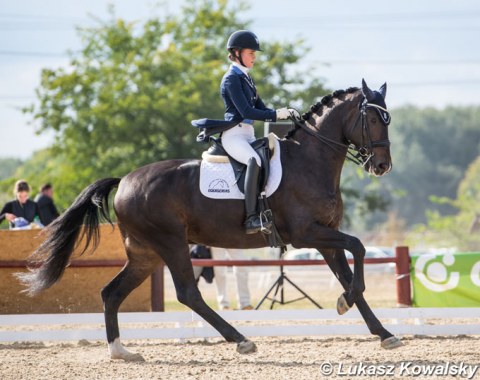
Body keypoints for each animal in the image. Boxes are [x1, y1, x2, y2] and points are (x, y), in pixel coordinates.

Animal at [16, 79, 400, 360]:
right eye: (371, 119)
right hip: (171, 243)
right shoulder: (307, 233)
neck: (311, 161)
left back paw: (120, 351)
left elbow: (350, 274)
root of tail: (124, 181)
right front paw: (345, 303)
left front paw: (382, 332)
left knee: (112, 293)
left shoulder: (326, 235)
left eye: (388, 119)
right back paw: (241, 339)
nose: (382, 166)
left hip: (145, 253)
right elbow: (359, 248)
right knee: (188, 293)